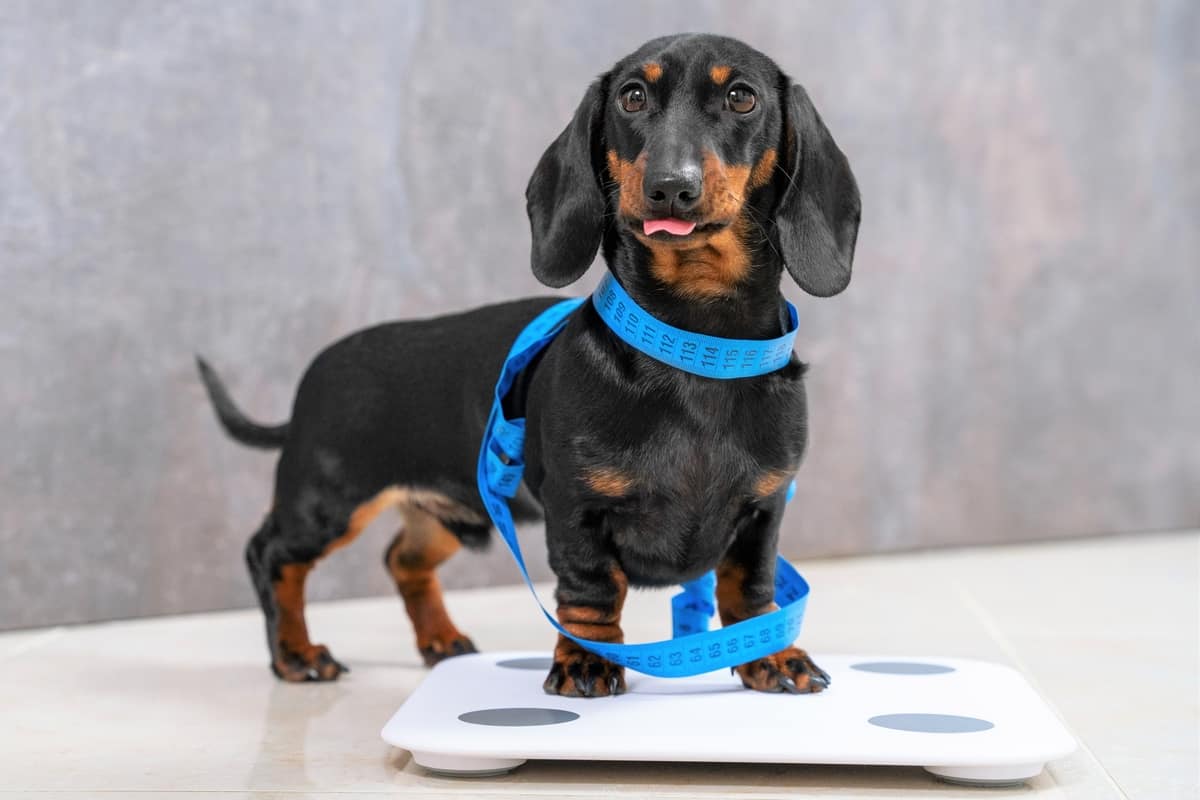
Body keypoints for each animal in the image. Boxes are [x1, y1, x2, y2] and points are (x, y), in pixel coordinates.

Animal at [204, 32, 864, 695]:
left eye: (741, 97)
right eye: (632, 96)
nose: (669, 186)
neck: (694, 344)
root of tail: (311, 383)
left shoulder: (763, 510)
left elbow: (750, 590)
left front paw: (773, 656)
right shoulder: (576, 508)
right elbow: (591, 593)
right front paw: (585, 661)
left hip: (451, 510)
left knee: (402, 558)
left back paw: (439, 639)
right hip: (326, 499)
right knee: (269, 554)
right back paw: (296, 652)